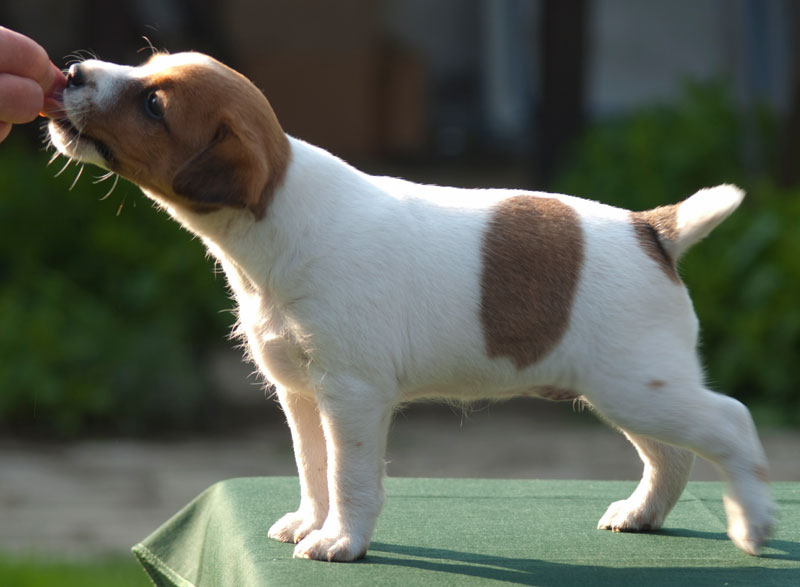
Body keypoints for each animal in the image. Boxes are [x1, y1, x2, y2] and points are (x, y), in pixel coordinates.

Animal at [47, 52, 772, 564]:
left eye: (153, 103)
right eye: (148, 62)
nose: (72, 73)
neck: (280, 215)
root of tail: (653, 228)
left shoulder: (351, 396)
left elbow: (349, 476)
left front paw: (340, 540)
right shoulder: (302, 395)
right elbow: (314, 468)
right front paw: (311, 522)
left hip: (635, 387)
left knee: (730, 423)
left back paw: (753, 522)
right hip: (626, 390)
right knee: (672, 456)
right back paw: (642, 513)